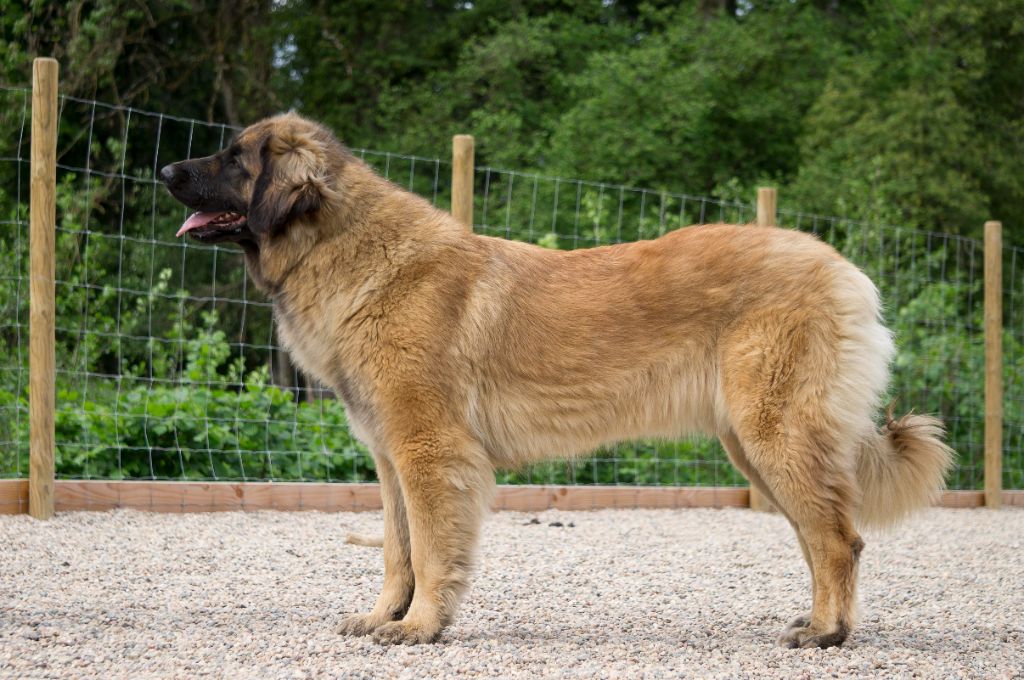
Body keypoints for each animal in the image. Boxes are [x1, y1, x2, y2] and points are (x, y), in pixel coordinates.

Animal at [161, 112, 954, 648]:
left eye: (233, 157)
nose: (165, 173)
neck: (350, 250)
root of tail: (842, 266)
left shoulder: (429, 453)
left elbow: (433, 549)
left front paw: (420, 627)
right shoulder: (389, 458)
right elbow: (397, 549)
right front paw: (386, 615)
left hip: (776, 434)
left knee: (838, 538)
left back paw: (826, 635)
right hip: (756, 446)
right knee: (820, 537)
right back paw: (818, 621)